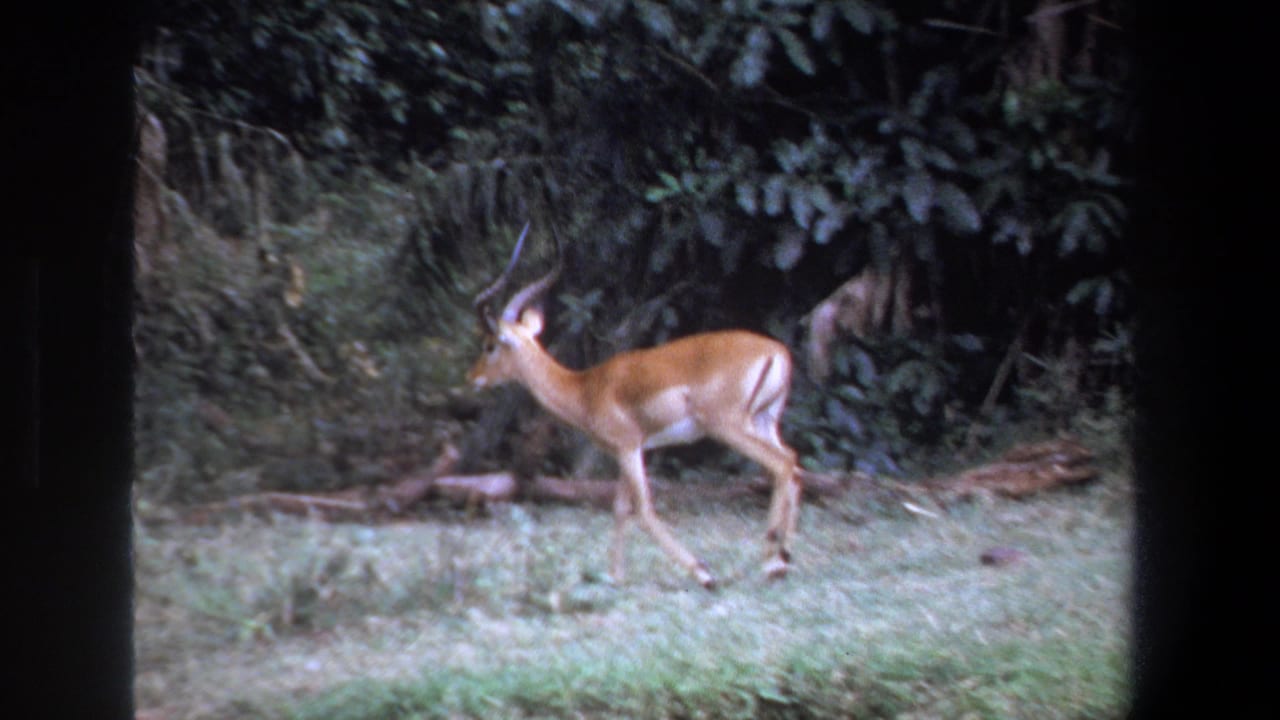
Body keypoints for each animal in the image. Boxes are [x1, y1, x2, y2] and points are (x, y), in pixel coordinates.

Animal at [468, 223, 802, 589]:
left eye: (490, 345)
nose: (472, 377)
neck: (585, 388)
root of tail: (776, 351)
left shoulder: (628, 447)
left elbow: (642, 510)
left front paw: (703, 572)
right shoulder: (628, 450)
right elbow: (619, 507)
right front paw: (616, 576)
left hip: (729, 427)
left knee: (782, 465)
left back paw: (772, 563)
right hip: (763, 422)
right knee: (793, 464)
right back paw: (781, 559)